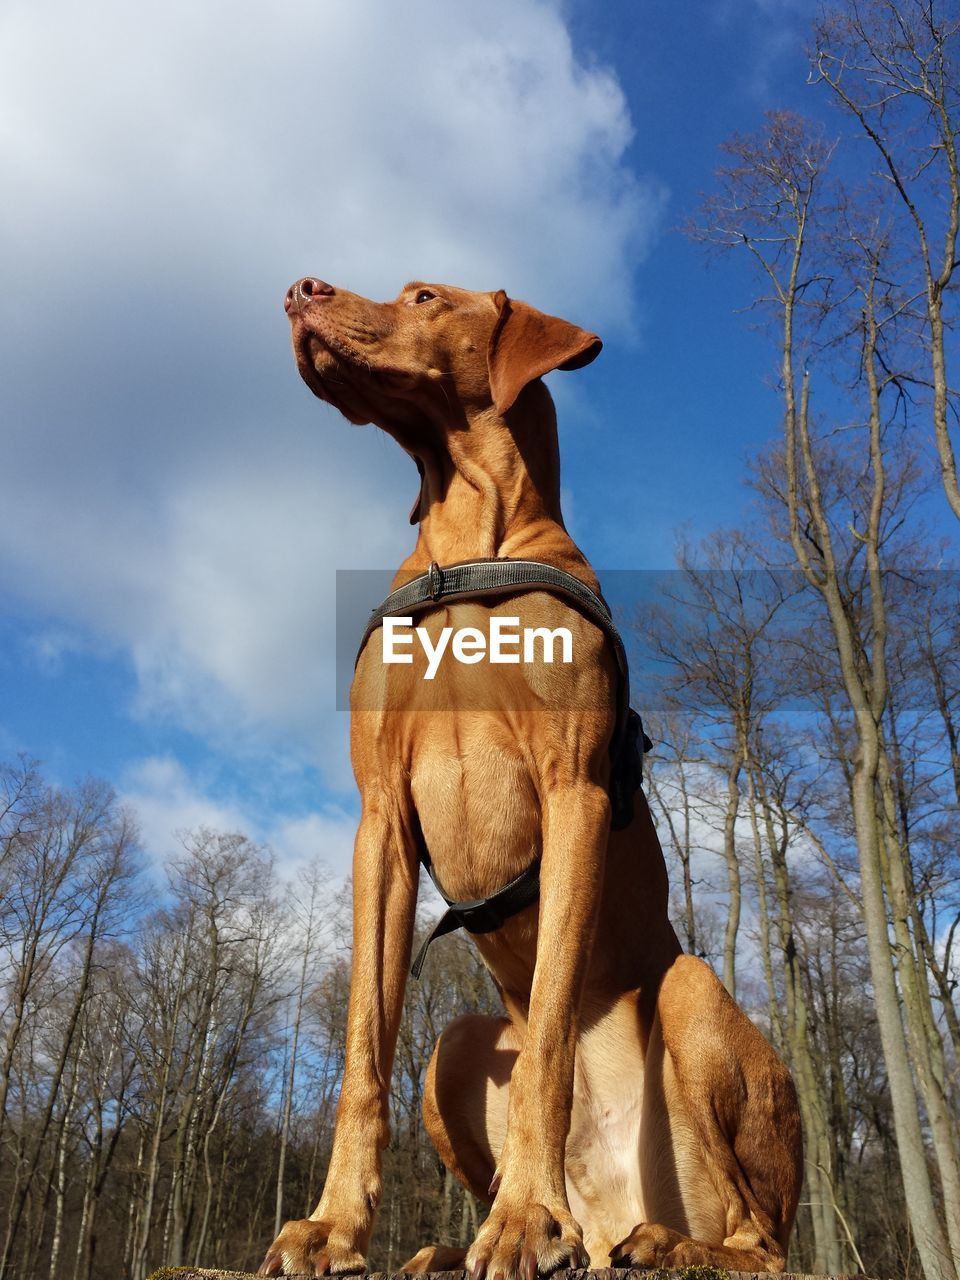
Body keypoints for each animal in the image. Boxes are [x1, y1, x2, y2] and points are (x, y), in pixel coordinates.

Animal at [261, 280, 803, 1280]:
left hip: (690, 993)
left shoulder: (574, 794)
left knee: (761, 1240)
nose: (298, 289)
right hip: (455, 1047)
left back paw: (651, 1241)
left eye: (425, 296)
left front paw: (523, 1218)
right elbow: (363, 1050)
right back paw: (452, 1247)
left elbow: (549, 1027)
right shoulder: (380, 822)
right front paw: (332, 1227)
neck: (469, 544)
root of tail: (613, 1207)